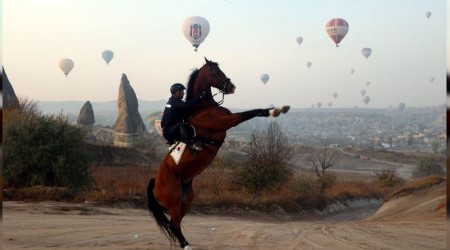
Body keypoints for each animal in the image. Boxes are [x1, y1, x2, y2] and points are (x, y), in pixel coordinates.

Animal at [148, 57, 288, 249]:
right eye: (215, 72)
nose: (232, 87)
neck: (203, 107)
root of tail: (155, 182)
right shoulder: (225, 122)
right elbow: (249, 113)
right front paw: (275, 110)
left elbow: (255, 112)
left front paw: (278, 109)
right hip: (173, 199)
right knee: (174, 223)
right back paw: (186, 245)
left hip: (186, 198)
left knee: (174, 222)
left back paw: (186, 243)